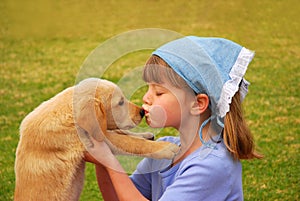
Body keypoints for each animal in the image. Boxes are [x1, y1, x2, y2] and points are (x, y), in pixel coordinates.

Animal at [14, 77, 179, 200]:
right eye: (120, 102)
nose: (142, 112)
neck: (69, 114)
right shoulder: (92, 139)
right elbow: (131, 142)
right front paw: (166, 148)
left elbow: (123, 133)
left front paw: (146, 135)